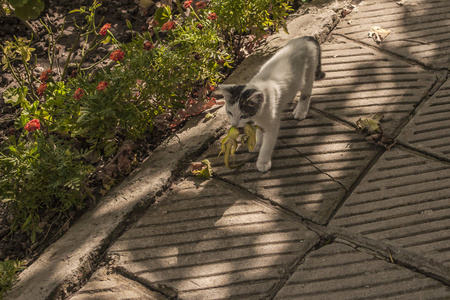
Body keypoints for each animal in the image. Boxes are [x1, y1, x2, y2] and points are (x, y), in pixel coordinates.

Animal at [218, 37, 324, 173]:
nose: (234, 125)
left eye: (243, 116)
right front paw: (256, 143)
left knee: (307, 92)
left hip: (307, 74)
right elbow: (259, 131)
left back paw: (301, 110)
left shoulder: (272, 123)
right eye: (230, 113)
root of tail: (307, 38)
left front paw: (263, 162)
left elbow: (268, 144)